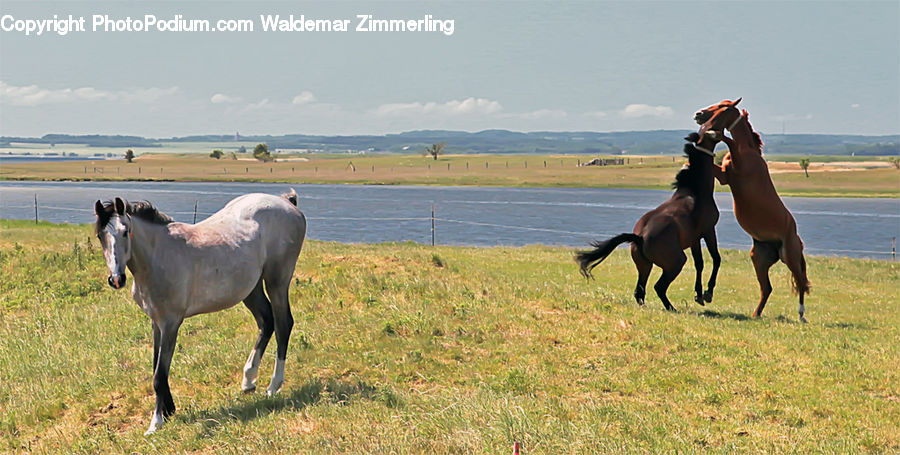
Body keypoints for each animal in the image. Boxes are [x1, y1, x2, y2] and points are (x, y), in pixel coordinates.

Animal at [93, 189, 306, 435]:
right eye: (100, 236)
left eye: (125, 232)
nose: (116, 279)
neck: (159, 257)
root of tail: (287, 202)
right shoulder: (156, 322)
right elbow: (156, 365)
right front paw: (168, 410)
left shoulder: (170, 323)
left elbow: (159, 374)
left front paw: (156, 423)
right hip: (251, 289)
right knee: (266, 321)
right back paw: (248, 380)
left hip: (277, 281)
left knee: (283, 324)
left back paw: (273, 386)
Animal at [576, 131, 728, 310]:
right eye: (710, 133)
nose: (722, 134)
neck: (695, 191)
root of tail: (639, 237)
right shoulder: (709, 231)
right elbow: (716, 259)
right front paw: (707, 293)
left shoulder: (695, 239)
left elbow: (699, 263)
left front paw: (699, 295)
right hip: (676, 262)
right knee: (659, 287)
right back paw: (672, 308)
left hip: (645, 266)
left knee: (639, 291)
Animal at [694, 99, 810, 322]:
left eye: (722, 106)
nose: (698, 114)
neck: (747, 150)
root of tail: (796, 238)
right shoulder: (724, 176)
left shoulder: (739, 169)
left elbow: (729, 142)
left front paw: (715, 134)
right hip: (759, 259)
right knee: (767, 288)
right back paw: (756, 314)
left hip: (790, 257)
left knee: (800, 283)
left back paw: (801, 315)